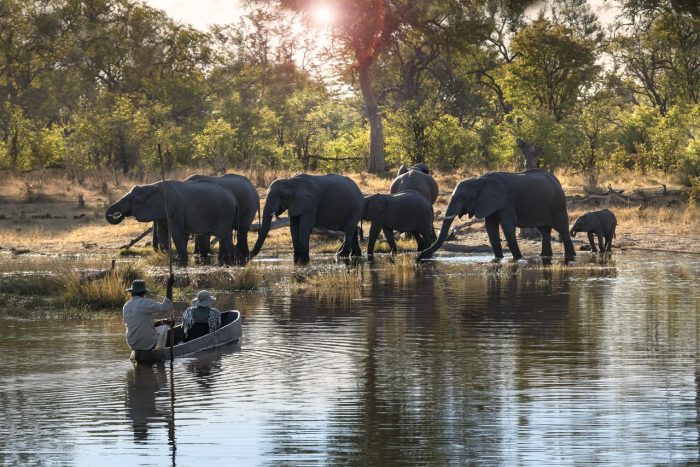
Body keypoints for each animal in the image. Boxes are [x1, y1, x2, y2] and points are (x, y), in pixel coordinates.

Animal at [106, 180, 241, 266]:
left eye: (131, 199)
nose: (118, 214)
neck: (152, 186)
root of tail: (234, 199)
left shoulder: (176, 210)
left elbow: (176, 233)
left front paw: (181, 262)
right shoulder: (163, 212)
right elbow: (162, 234)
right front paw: (171, 259)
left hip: (224, 212)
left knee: (225, 236)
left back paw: (237, 263)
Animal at [416, 169, 576, 264]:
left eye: (464, 197)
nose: (419, 257)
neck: (479, 180)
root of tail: (557, 181)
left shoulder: (506, 201)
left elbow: (507, 226)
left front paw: (518, 259)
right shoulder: (488, 203)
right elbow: (490, 227)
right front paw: (498, 259)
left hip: (558, 204)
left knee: (562, 229)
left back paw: (571, 256)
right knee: (544, 231)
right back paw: (545, 256)